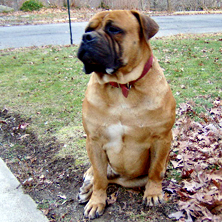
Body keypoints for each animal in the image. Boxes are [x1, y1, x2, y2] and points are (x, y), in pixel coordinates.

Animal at [77, 10, 176, 219]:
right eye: (88, 29)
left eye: (114, 29)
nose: (86, 37)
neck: (121, 85)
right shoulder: (94, 141)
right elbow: (99, 177)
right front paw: (96, 201)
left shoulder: (161, 138)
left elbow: (155, 170)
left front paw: (153, 194)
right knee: (101, 175)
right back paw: (88, 186)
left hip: (134, 177)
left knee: (114, 179)